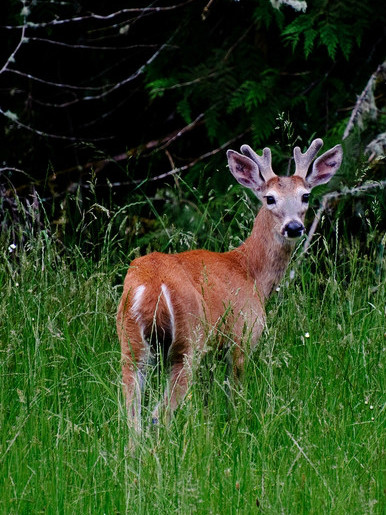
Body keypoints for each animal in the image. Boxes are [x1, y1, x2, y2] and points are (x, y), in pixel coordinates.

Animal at [115, 137, 344, 432]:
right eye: (270, 198)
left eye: (305, 195)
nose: (294, 227)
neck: (250, 272)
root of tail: (152, 288)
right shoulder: (242, 336)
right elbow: (234, 397)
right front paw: (237, 427)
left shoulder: (212, 353)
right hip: (189, 340)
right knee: (158, 415)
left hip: (131, 343)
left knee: (133, 418)